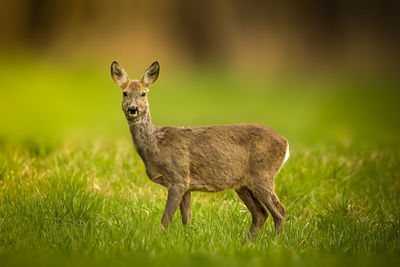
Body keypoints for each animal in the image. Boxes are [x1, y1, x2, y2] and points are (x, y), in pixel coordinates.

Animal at [111, 61, 290, 239]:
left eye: (143, 93)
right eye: (125, 93)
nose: (133, 109)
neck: (157, 144)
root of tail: (285, 143)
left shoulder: (178, 177)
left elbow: (165, 219)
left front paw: (158, 238)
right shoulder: (187, 186)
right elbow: (186, 219)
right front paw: (187, 239)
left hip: (263, 175)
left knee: (279, 211)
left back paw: (275, 240)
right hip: (243, 185)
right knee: (261, 214)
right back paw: (246, 241)